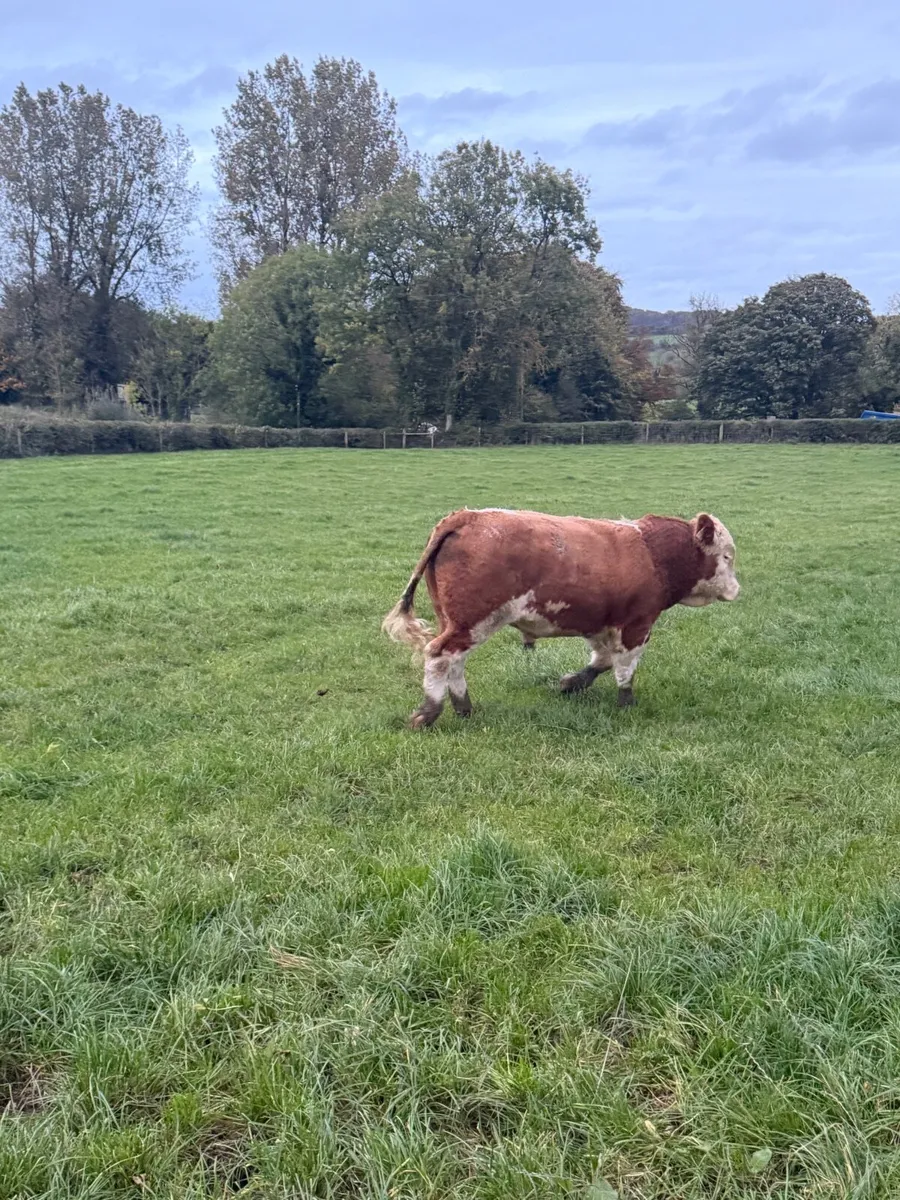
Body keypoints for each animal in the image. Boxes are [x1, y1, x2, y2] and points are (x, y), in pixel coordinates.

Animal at [382, 507, 739, 728]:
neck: (655, 554)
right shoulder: (637, 625)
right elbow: (625, 669)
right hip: (472, 622)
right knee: (440, 656)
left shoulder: (602, 624)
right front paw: (626, 703)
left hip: (457, 622)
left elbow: (602, 660)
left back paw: (464, 708)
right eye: (726, 557)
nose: (737, 589)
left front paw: (572, 683)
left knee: (455, 661)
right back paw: (428, 712)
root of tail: (466, 517)